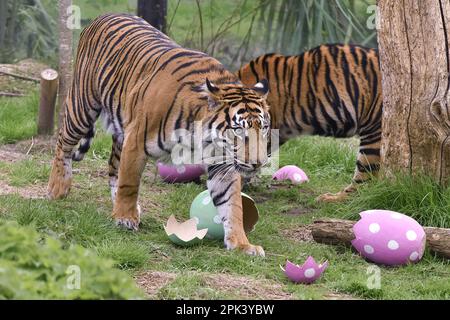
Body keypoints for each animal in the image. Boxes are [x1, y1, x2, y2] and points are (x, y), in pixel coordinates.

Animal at [46, 13, 270, 258]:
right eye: (238, 130)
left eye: (263, 128)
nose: (259, 163)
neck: (202, 136)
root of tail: (104, 16)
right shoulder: (136, 142)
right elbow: (129, 184)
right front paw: (125, 219)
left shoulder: (222, 163)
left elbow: (232, 205)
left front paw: (242, 244)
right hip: (82, 107)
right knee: (63, 143)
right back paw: (58, 188)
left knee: (113, 167)